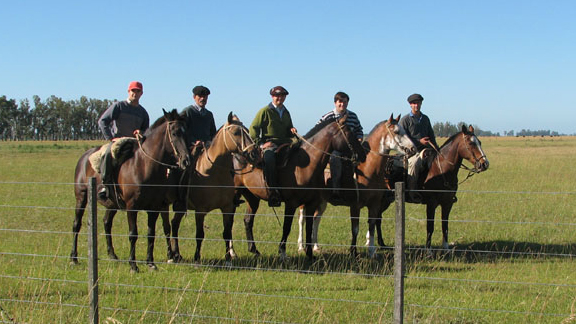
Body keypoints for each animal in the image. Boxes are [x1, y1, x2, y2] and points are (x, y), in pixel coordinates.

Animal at [70, 110, 191, 272]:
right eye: (175, 132)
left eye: (186, 132)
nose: (186, 160)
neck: (144, 166)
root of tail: (84, 158)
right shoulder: (132, 207)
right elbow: (133, 234)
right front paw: (133, 265)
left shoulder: (154, 207)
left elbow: (151, 234)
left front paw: (150, 263)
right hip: (81, 197)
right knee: (76, 224)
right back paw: (73, 258)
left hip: (112, 204)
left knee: (107, 222)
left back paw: (112, 255)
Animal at [168, 112, 260, 262]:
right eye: (236, 132)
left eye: (247, 129)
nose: (255, 154)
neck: (214, 173)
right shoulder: (200, 211)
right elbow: (199, 234)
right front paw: (197, 258)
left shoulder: (227, 208)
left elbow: (226, 232)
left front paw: (228, 258)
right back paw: (173, 255)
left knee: (174, 224)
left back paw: (177, 254)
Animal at [233, 115, 364, 260]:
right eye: (348, 133)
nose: (363, 154)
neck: (305, 166)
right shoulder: (291, 204)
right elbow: (287, 227)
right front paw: (282, 252)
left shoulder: (312, 203)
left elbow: (309, 227)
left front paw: (310, 254)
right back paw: (232, 253)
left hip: (252, 198)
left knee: (248, 220)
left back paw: (254, 249)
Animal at [294, 114, 416, 258]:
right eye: (397, 131)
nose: (413, 148)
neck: (368, 168)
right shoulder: (355, 206)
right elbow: (355, 229)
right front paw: (353, 251)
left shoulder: (375, 204)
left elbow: (372, 226)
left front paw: (372, 251)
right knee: (302, 220)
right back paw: (301, 246)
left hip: (322, 201)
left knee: (316, 219)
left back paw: (316, 246)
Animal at [368, 124, 490, 253]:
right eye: (471, 143)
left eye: (479, 142)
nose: (485, 164)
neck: (442, 170)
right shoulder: (431, 204)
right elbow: (430, 226)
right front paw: (428, 250)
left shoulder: (447, 203)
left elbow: (445, 225)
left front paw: (446, 248)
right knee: (377, 218)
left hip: (387, 200)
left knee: (378, 218)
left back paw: (382, 244)